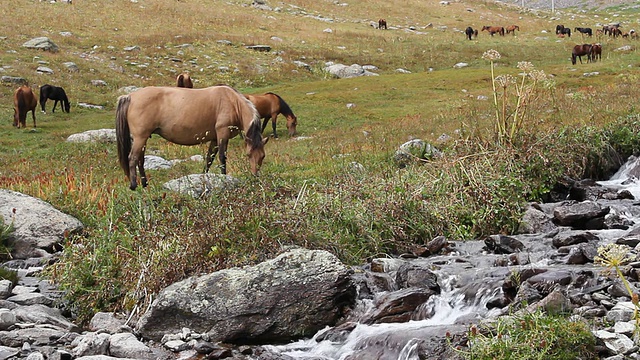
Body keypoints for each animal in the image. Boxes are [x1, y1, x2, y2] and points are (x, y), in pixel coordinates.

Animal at [116, 85, 268, 190]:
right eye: (248, 154)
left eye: (262, 156)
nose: (255, 176)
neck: (232, 102)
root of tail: (130, 96)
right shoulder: (222, 134)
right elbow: (222, 158)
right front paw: (224, 177)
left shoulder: (214, 139)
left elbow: (209, 159)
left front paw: (204, 176)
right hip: (140, 137)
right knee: (133, 158)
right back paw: (134, 185)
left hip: (143, 138)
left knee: (140, 160)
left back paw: (145, 184)